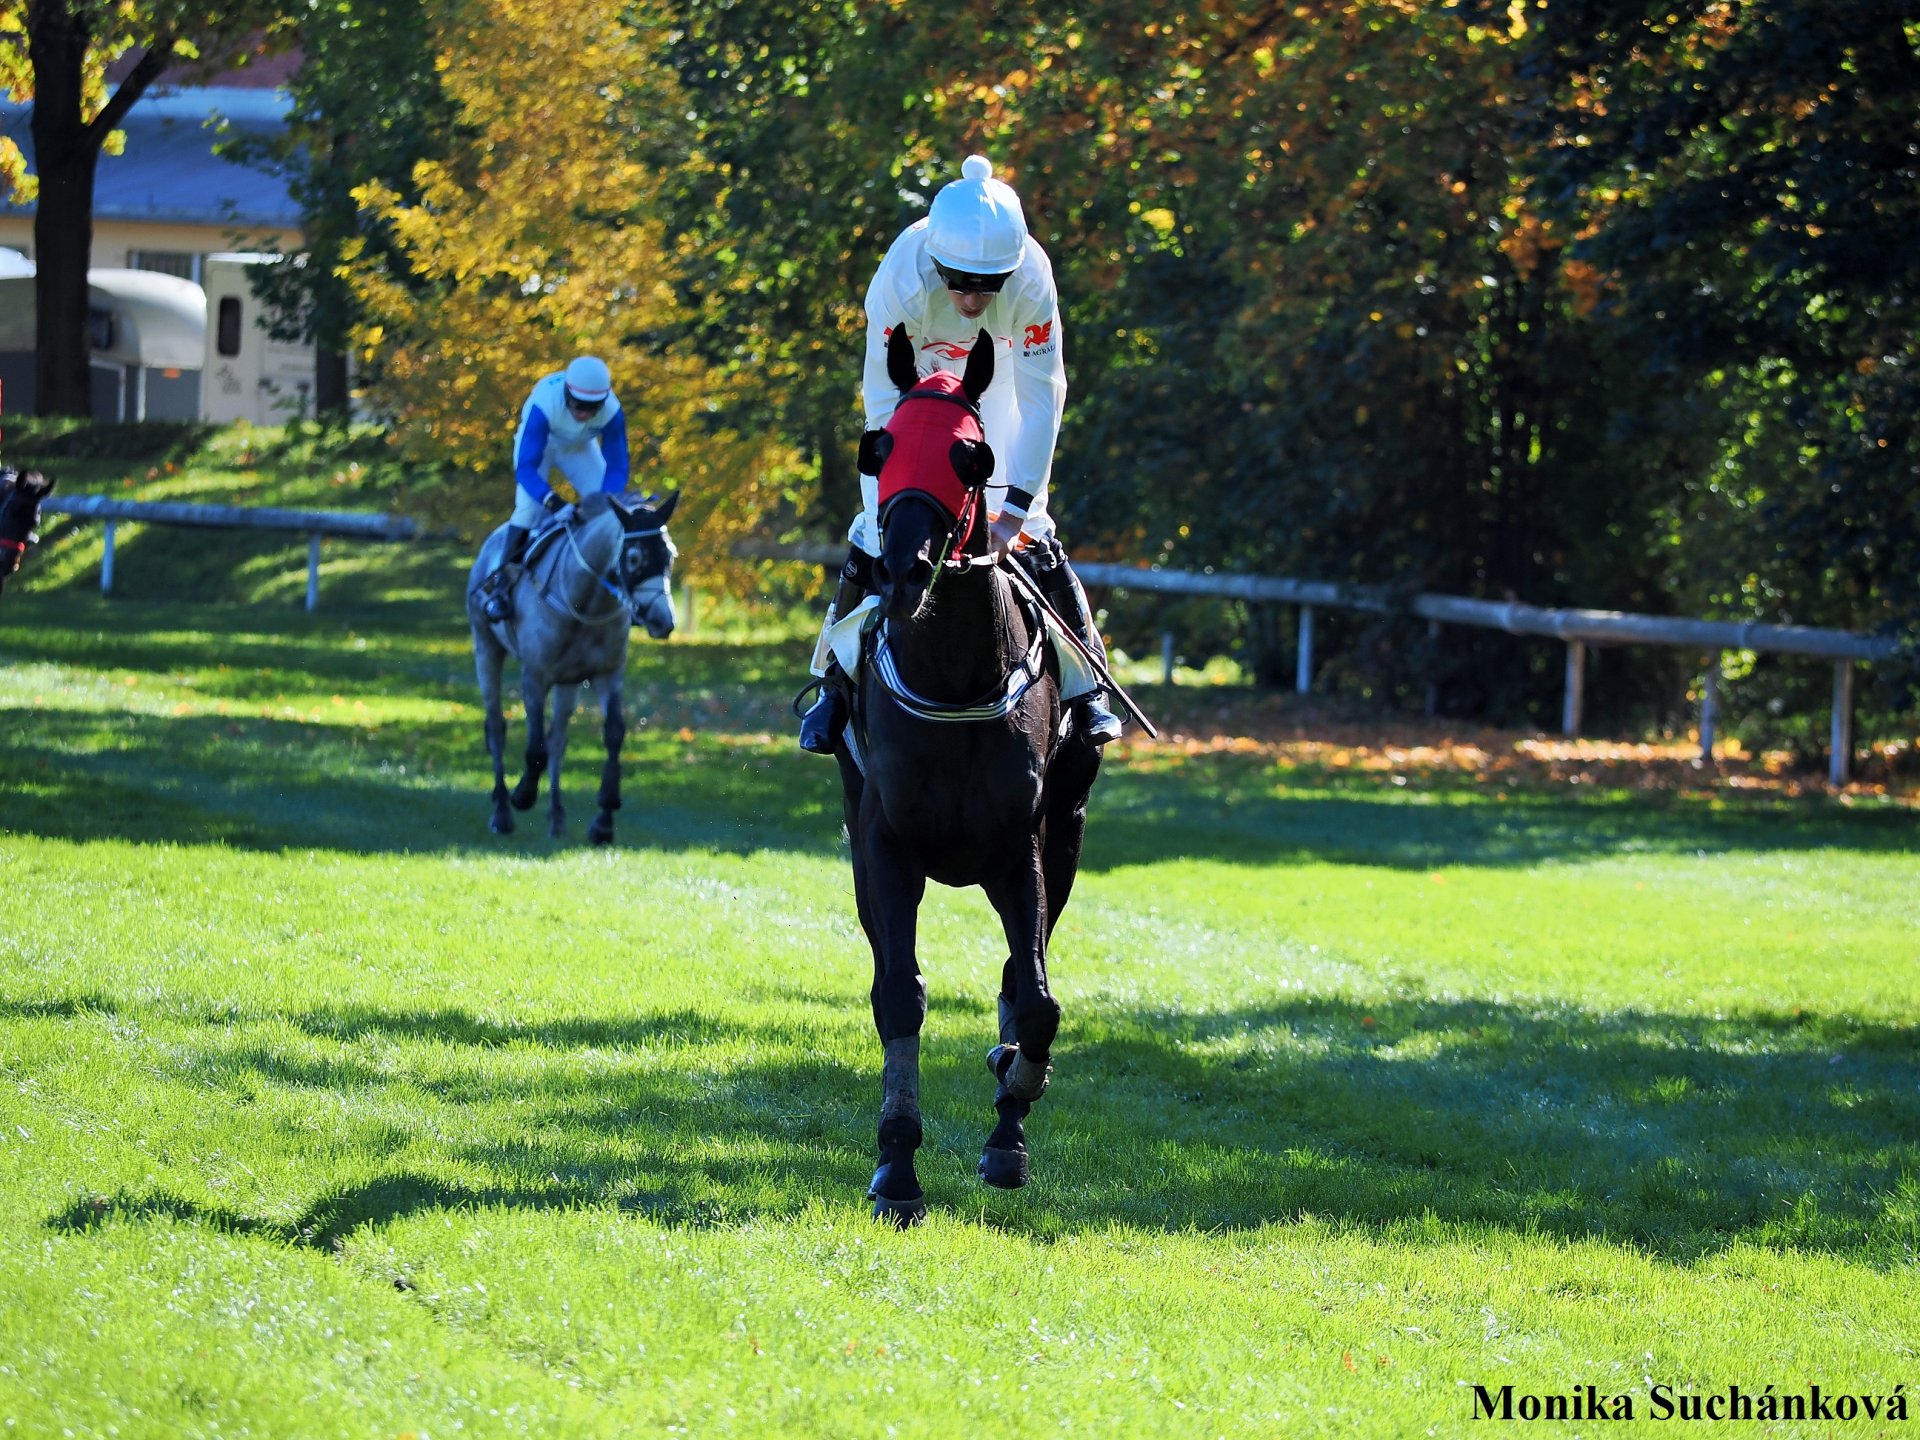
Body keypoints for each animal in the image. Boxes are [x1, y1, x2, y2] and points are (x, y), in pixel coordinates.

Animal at [462, 491, 675, 844]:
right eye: (633, 558)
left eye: (670, 555)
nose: (663, 620)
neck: (585, 601)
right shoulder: (534, 676)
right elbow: (535, 747)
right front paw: (523, 794)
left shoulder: (607, 675)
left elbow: (613, 734)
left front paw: (604, 818)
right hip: (486, 649)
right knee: (496, 728)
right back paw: (502, 812)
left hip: (569, 683)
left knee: (558, 740)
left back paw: (557, 817)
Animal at [833, 326, 1105, 1228]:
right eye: (881, 446)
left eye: (969, 455)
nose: (903, 569)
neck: (952, 674)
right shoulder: (884, 845)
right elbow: (898, 994)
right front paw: (896, 1167)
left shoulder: (1020, 848)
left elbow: (1038, 999)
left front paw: (1011, 1114)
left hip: (1064, 839)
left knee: (1022, 978)